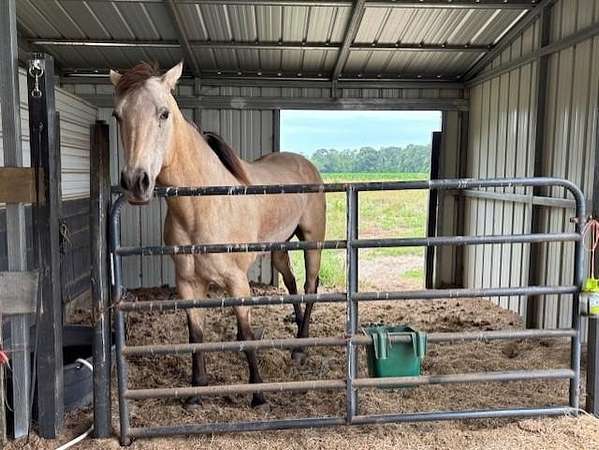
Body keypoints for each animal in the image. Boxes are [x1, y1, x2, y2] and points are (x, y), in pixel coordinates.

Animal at [110, 62, 326, 408]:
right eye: (118, 115)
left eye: (163, 113)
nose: (135, 182)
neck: (202, 205)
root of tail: (306, 164)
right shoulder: (187, 284)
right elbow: (195, 335)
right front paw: (196, 391)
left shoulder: (236, 281)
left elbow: (247, 333)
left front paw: (258, 395)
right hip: (279, 247)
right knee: (292, 284)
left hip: (312, 241)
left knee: (310, 286)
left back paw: (300, 347)